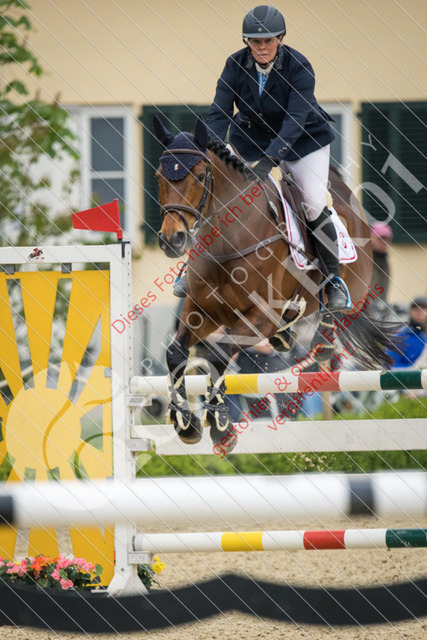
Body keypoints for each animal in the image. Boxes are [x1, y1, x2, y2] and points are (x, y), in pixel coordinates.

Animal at [153, 114, 395, 448]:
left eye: (201, 176)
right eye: (159, 177)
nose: (171, 240)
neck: (228, 240)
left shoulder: (260, 317)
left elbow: (220, 354)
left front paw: (221, 425)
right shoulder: (200, 311)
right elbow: (175, 353)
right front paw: (185, 422)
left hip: (353, 285)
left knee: (337, 311)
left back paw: (323, 338)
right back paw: (286, 336)